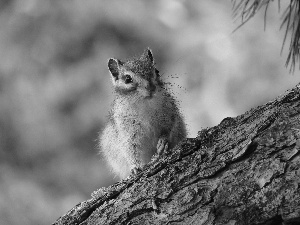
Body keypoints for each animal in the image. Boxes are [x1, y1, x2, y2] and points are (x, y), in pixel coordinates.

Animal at [99, 48, 186, 179]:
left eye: (156, 71)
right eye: (127, 79)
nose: (151, 88)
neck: (144, 104)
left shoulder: (170, 114)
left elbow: (168, 129)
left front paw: (163, 142)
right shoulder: (127, 132)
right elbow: (130, 150)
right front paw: (135, 167)